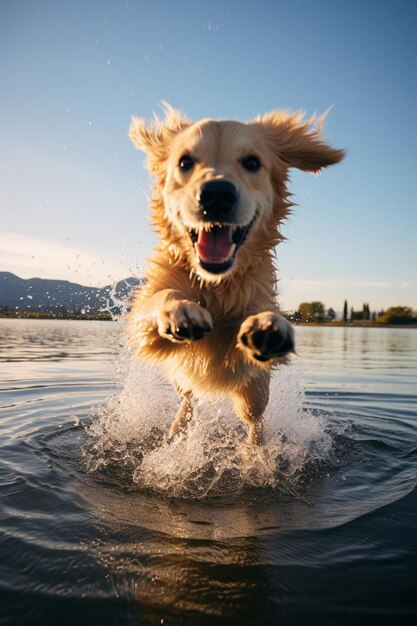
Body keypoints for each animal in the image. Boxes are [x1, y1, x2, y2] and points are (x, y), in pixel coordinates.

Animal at [128, 103, 342, 444]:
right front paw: (180, 312)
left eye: (252, 162)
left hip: (255, 392)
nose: (216, 194)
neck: (216, 284)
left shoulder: (251, 321)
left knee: (255, 422)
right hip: (180, 377)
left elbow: (256, 319)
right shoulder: (147, 318)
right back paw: (178, 429)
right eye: (185, 162)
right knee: (188, 398)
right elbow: (160, 300)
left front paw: (268, 326)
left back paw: (255, 451)